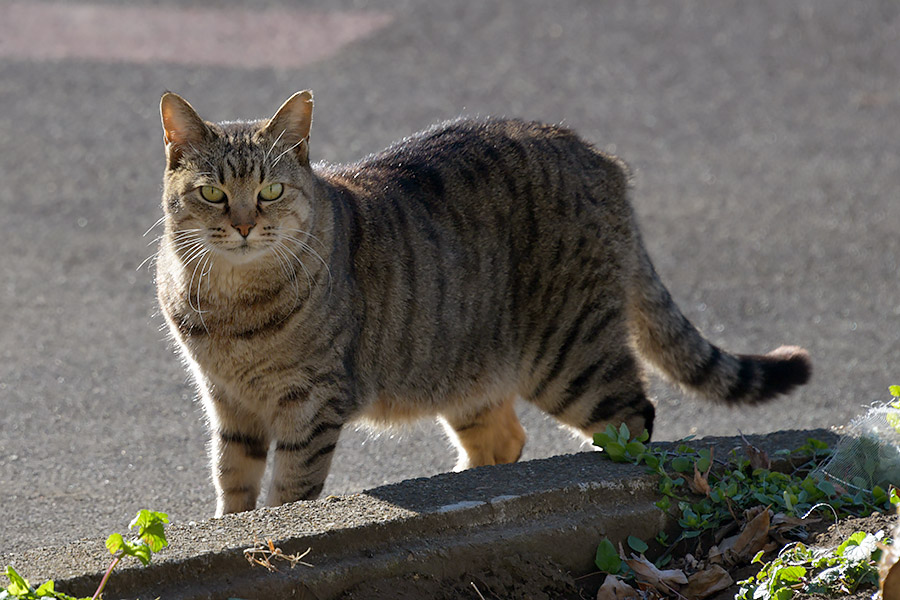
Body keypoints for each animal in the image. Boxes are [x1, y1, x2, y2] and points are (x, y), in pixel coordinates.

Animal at [158, 89, 812, 516]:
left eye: (270, 190)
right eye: (213, 194)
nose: (244, 225)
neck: (233, 305)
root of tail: (599, 157)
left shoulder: (312, 401)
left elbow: (289, 490)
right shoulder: (227, 402)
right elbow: (233, 483)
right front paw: (232, 524)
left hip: (572, 360)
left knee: (633, 418)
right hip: (463, 369)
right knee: (503, 441)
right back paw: (462, 490)